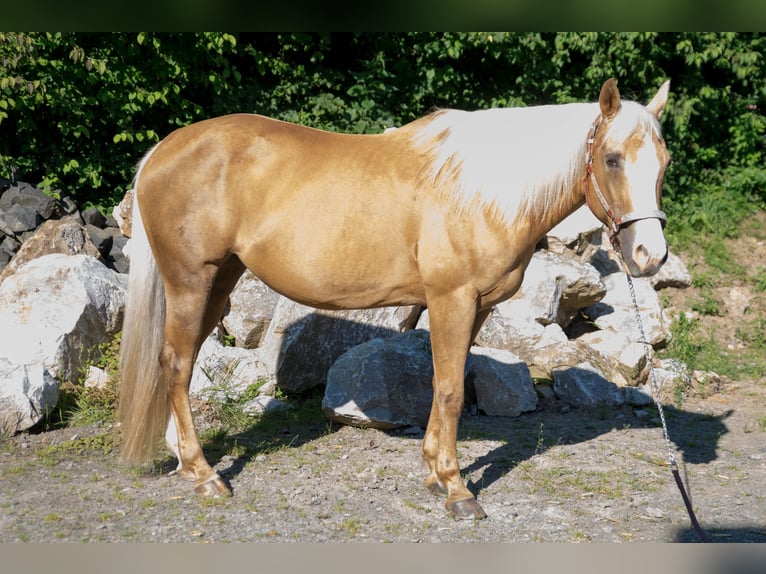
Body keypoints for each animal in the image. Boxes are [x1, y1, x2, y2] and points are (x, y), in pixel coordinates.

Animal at [118, 77, 672, 520]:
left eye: (664, 163)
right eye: (612, 159)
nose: (649, 256)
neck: (481, 193)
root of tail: (161, 152)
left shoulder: (476, 307)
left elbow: (447, 383)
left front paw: (434, 474)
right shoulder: (452, 299)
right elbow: (449, 391)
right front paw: (457, 490)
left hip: (220, 281)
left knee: (182, 361)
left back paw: (184, 459)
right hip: (191, 282)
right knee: (176, 363)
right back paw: (204, 474)